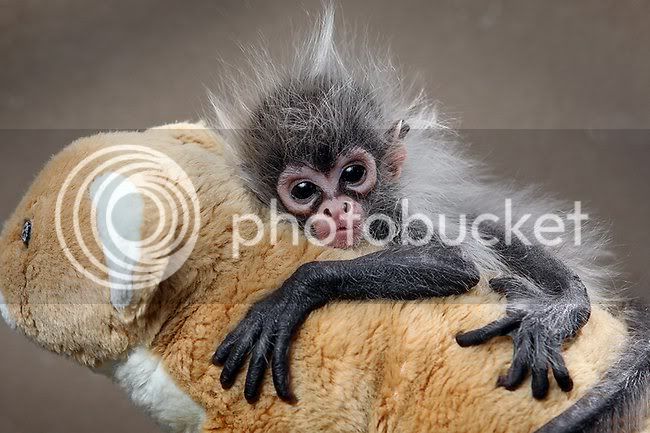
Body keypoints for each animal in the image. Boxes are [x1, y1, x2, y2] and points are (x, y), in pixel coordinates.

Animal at [211, 10, 612, 416]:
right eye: (304, 191)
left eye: (353, 174)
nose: (336, 208)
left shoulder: (398, 214)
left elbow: (453, 262)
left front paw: (290, 294)